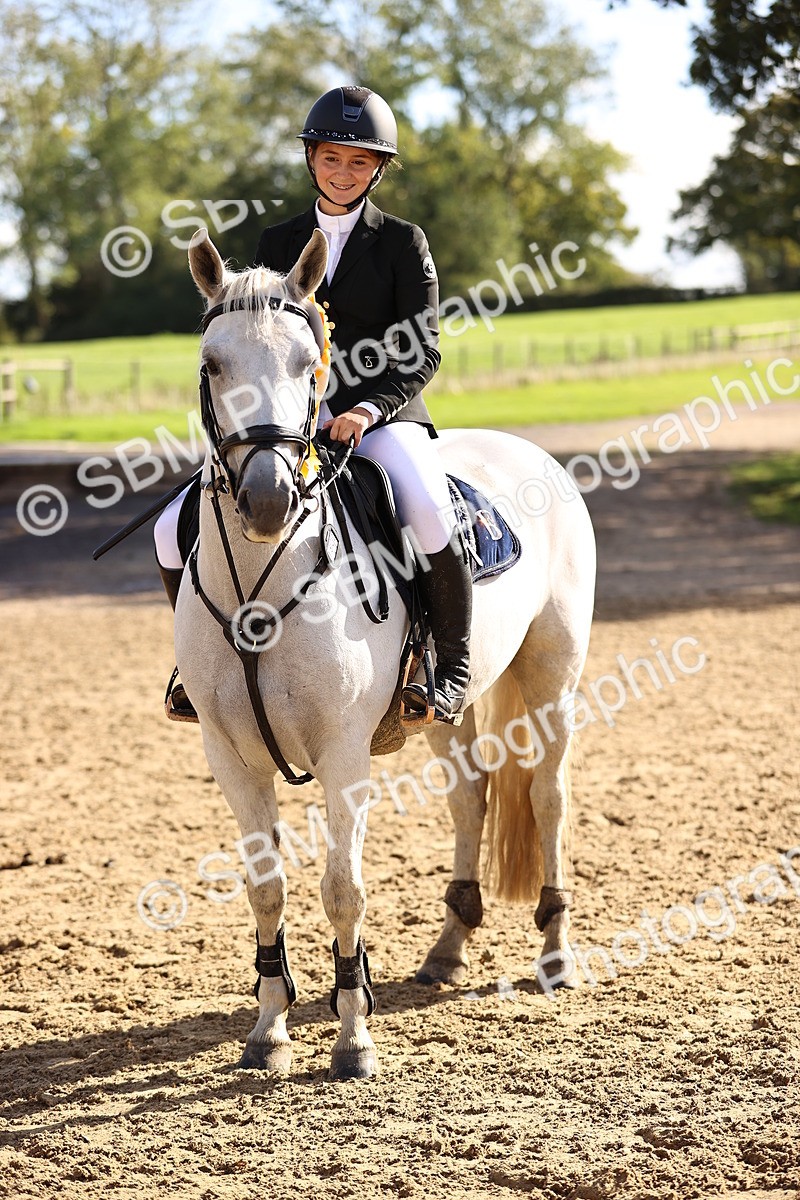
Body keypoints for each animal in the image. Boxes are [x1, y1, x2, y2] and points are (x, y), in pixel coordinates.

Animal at [174, 227, 596, 1080]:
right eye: (212, 364)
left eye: (309, 364)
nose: (268, 500)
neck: (263, 580)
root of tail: (532, 453)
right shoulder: (228, 755)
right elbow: (265, 888)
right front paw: (270, 1028)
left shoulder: (343, 753)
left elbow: (344, 890)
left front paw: (352, 1038)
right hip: (447, 708)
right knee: (471, 799)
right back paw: (447, 949)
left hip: (551, 679)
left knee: (547, 798)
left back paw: (556, 955)